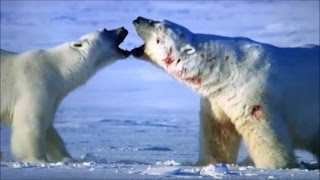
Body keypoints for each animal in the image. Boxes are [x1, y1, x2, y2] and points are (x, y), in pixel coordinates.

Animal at [0, 27, 130, 163]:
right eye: (105, 30)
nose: (123, 28)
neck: (56, 68)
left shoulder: (53, 95)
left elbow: (49, 129)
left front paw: (66, 158)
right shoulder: (34, 85)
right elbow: (31, 123)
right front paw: (37, 159)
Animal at [131, 16, 318, 169]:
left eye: (157, 28)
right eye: (157, 20)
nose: (138, 19)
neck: (225, 69)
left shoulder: (252, 92)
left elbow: (264, 132)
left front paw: (277, 166)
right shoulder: (218, 97)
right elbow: (218, 132)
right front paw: (207, 163)